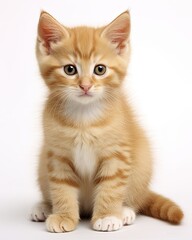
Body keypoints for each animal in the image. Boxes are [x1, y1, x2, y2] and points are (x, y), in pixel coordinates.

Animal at [30, 10, 184, 232]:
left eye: (100, 69)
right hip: (42, 166)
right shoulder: (57, 155)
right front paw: (63, 216)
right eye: (70, 69)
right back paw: (43, 207)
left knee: (137, 198)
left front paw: (108, 216)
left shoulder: (118, 154)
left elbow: (111, 186)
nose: (85, 86)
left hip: (142, 166)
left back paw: (125, 211)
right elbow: (61, 187)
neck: (84, 119)